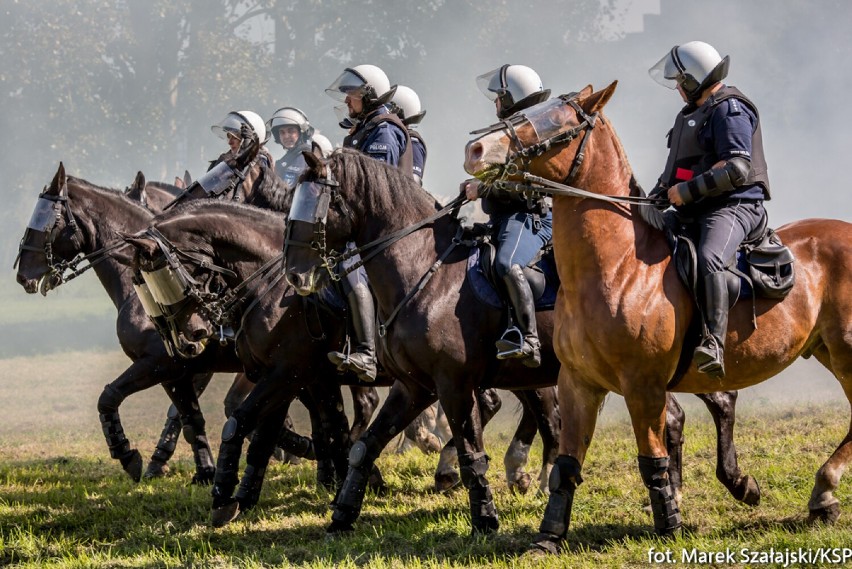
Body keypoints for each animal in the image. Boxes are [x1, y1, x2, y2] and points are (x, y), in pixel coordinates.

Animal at [466, 82, 852, 548]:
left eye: (558, 121)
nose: (476, 149)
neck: (617, 268)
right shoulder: (578, 384)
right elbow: (567, 465)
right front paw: (548, 537)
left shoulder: (643, 386)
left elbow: (652, 460)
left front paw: (669, 526)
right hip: (827, 350)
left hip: (846, 352)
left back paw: (823, 487)